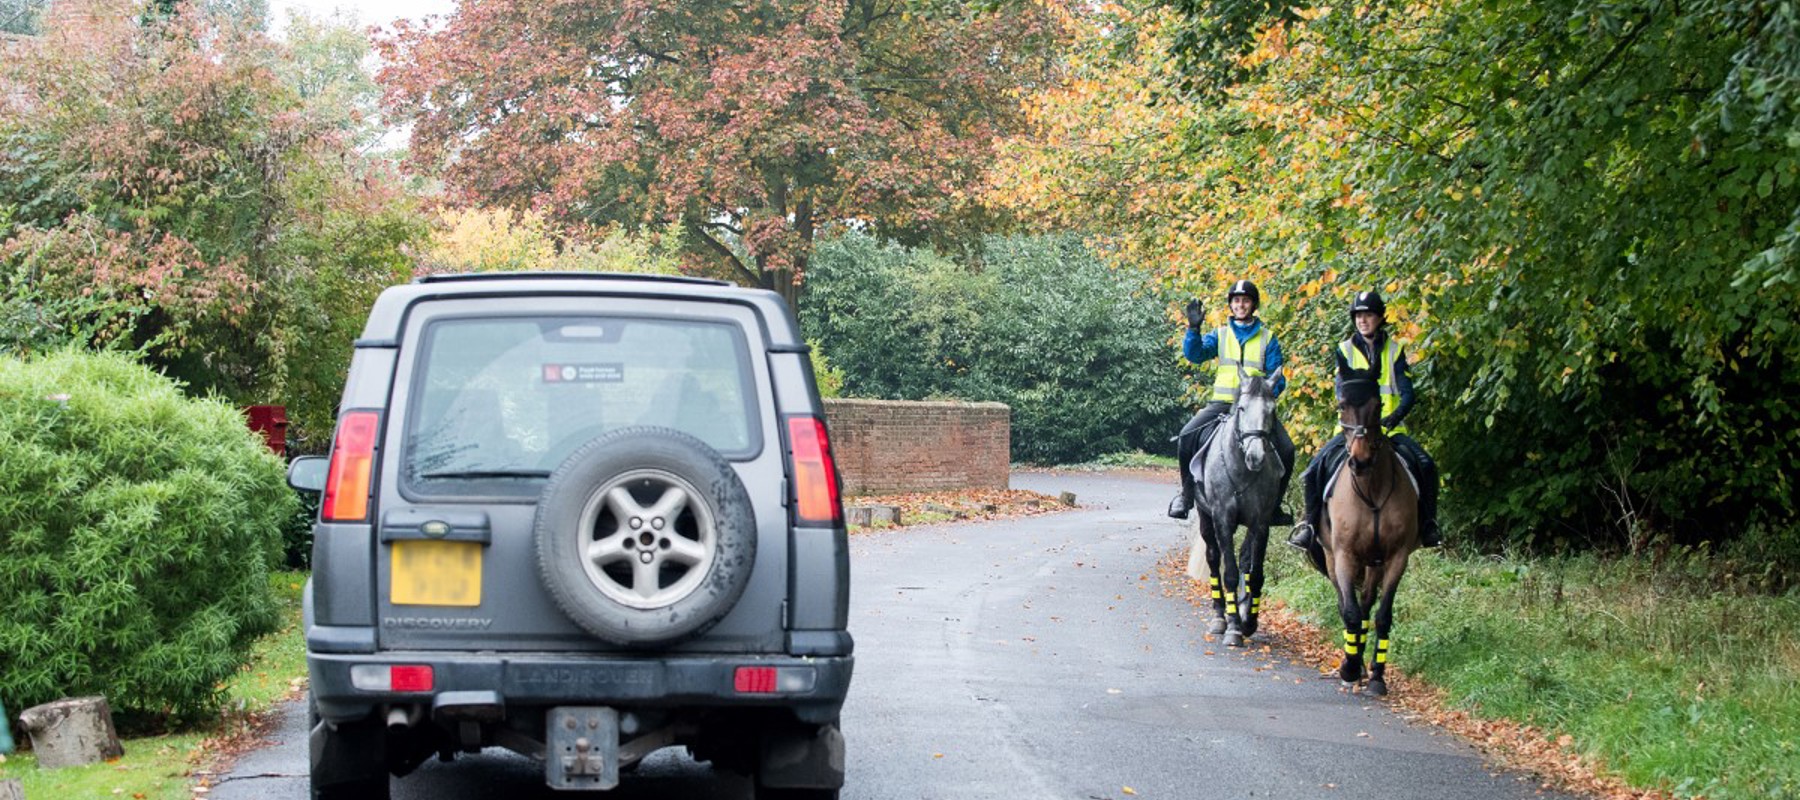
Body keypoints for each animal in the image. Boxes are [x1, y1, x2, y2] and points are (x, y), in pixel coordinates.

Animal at [1188, 376, 1288, 648]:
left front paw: (1249, 620)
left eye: (1272, 411)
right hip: (1206, 518)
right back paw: (1220, 617)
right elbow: (1230, 573)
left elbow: (1255, 573)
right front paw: (1233, 627)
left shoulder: (1260, 523)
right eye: (1242, 408)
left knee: (1243, 559)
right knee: (1214, 559)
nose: (1256, 456)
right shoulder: (1223, 520)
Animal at [1324, 378, 1418, 691]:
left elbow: (1382, 615)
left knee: (1366, 602)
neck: (1372, 492)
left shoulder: (1397, 557)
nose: (1360, 461)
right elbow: (1349, 612)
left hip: (1374, 563)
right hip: (1332, 558)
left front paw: (1377, 674)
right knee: (1347, 604)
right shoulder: (1343, 555)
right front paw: (1349, 667)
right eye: (1342, 404)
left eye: (1378, 406)